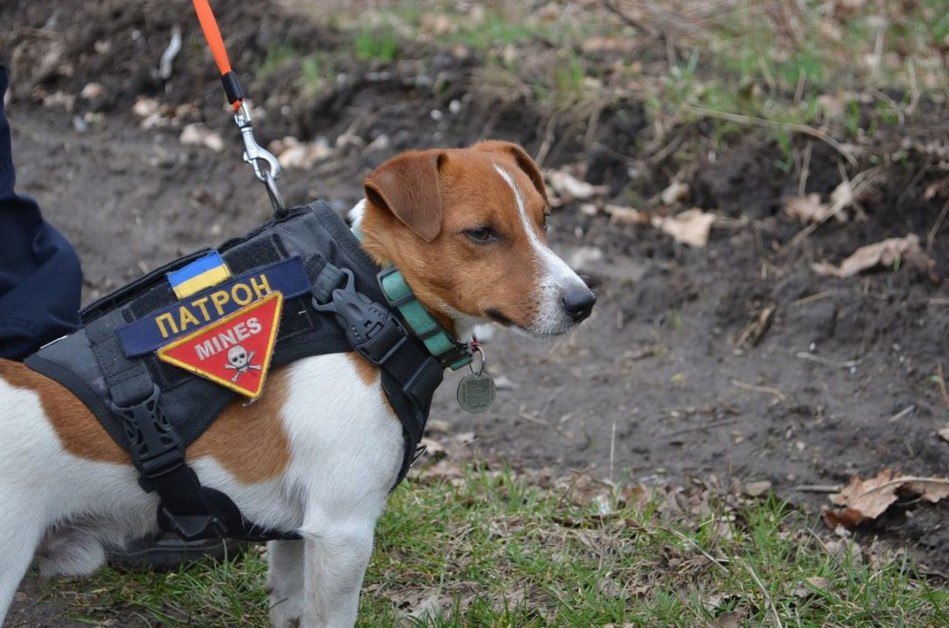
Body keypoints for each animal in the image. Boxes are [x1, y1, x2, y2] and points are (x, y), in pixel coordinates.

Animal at [0, 140, 592, 624]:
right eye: (481, 233)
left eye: (544, 220)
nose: (584, 302)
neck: (375, 295)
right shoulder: (342, 532)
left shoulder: (293, 533)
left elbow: (289, 605)